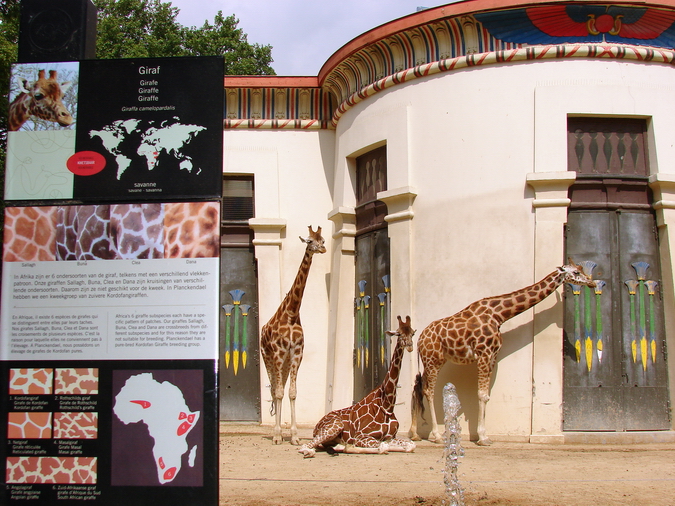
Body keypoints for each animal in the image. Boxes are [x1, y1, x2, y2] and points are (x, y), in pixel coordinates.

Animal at [261, 226, 326, 445]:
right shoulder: (279, 352)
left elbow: (292, 393)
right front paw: (278, 435)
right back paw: (276, 433)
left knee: (280, 388)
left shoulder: (297, 353)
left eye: (322, 240)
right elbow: (279, 393)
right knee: (274, 390)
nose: (322, 249)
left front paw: (295, 436)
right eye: (309, 241)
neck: (291, 313)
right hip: (268, 358)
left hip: (285, 362)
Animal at [299, 315, 417, 458]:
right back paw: (311, 451)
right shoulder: (361, 436)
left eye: (412, 333)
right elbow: (383, 447)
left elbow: (410, 445)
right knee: (305, 446)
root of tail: (317, 425)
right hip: (335, 426)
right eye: (398, 333)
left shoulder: (390, 437)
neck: (387, 405)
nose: (409, 346)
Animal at [409, 260, 596, 446]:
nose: (592, 283)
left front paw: (484, 435)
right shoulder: (484, 354)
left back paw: (415, 434)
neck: (499, 315)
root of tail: (420, 340)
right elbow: (481, 394)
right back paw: (437, 435)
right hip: (433, 360)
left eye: (581, 269)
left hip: (434, 361)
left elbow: (486, 396)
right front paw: (483, 438)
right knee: (429, 391)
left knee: (418, 387)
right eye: (576, 272)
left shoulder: (493, 356)